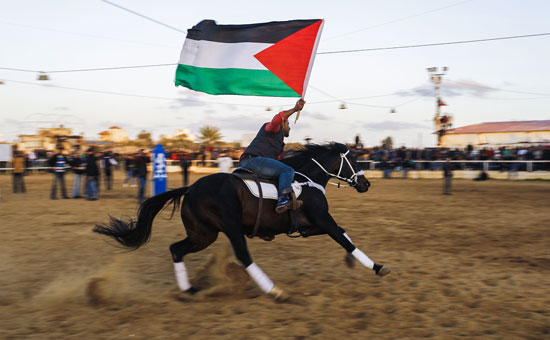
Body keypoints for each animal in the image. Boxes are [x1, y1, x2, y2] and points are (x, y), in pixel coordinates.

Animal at [94, 143, 388, 300]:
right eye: (352, 160)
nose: (366, 183)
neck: (306, 180)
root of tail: (191, 188)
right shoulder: (323, 220)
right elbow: (344, 238)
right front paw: (377, 266)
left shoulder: (309, 227)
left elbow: (344, 234)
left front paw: (353, 262)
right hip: (230, 229)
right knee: (244, 257)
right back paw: (274, 290)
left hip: (203, 234)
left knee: (176, 249)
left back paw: (189, 288)